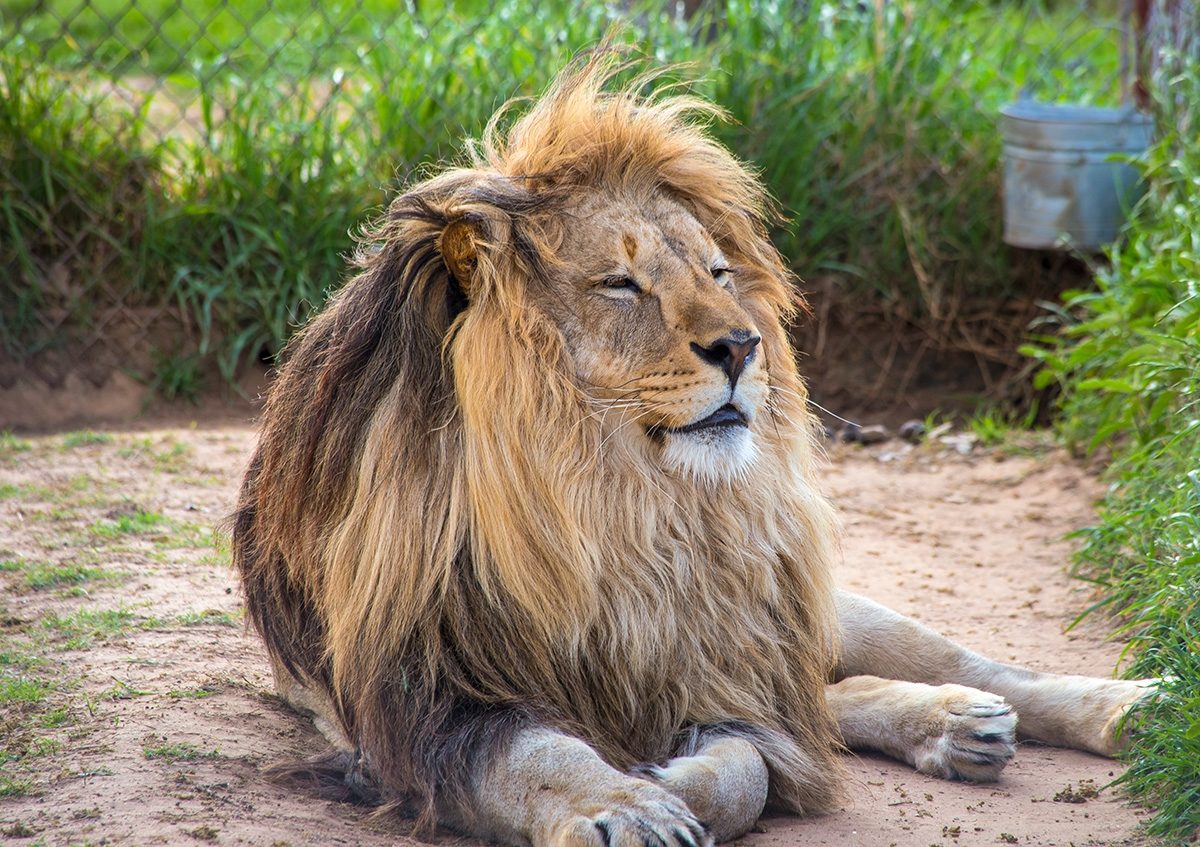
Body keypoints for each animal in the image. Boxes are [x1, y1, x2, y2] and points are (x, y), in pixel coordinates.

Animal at [231, 52, 1152, 844]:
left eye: (716, 272)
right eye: (619, 283)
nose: (743, 345)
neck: (620, 505)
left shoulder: (713, 661)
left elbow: (750, 764)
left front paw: (670, 779)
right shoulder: (428, 699)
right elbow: (542, 754)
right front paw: (625, 804)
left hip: (806, 603)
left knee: (940, 666)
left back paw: (1118, 705)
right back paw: (954, 727)